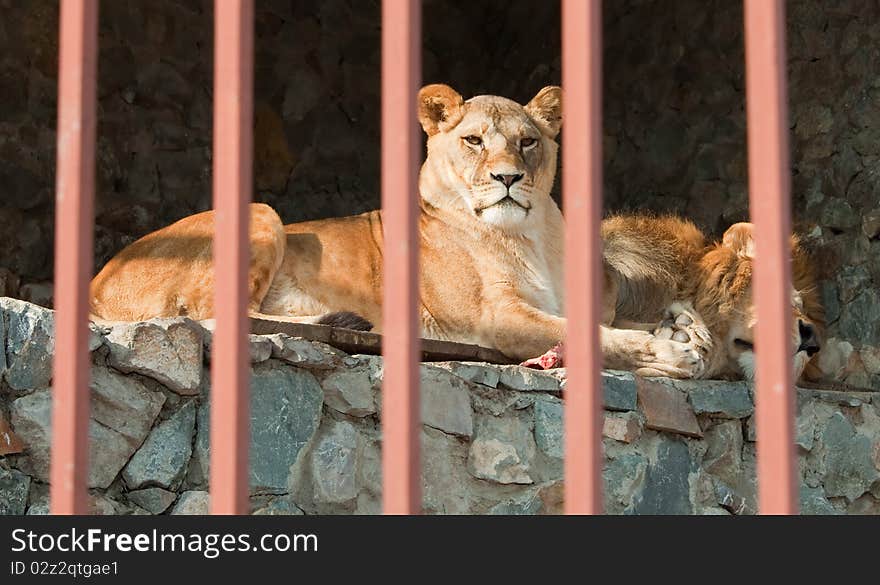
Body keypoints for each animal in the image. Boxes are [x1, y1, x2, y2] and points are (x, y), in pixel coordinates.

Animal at [91, 83, 824, 384]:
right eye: (473, 141)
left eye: (528, 142)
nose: (507, 178)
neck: (532, 236)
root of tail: (95, 280)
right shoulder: (497, 319)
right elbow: (593, 337)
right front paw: (673, 351)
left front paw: (680, 333)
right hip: (259, 211)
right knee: (210, 311)